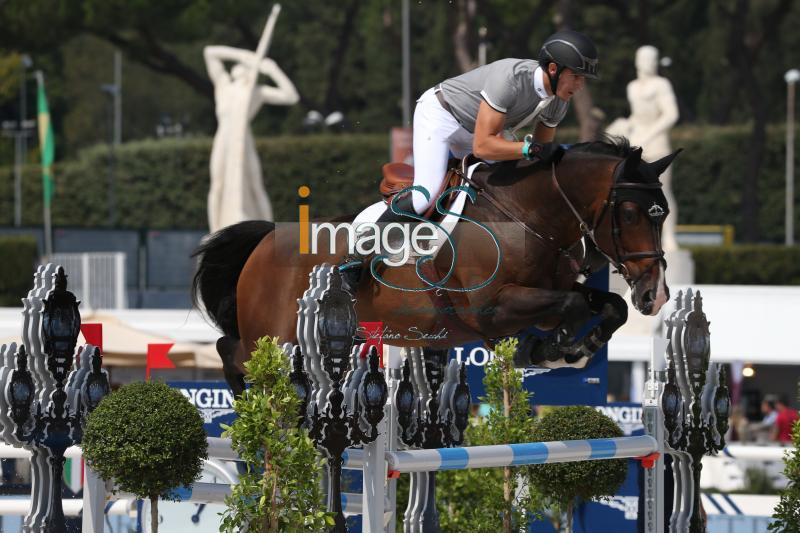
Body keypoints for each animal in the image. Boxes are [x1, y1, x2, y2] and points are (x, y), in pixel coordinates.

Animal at [192, 138, 676, 394]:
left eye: (664, 213)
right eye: (629, 213)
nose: (655, 296)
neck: (527, 216)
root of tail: (265, 239)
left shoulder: (554, 289)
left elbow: (608, 304)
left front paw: (576, 345)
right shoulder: (491, 310)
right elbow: (570, 306)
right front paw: (552, 346)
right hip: (272, 336)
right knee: (232, 351)